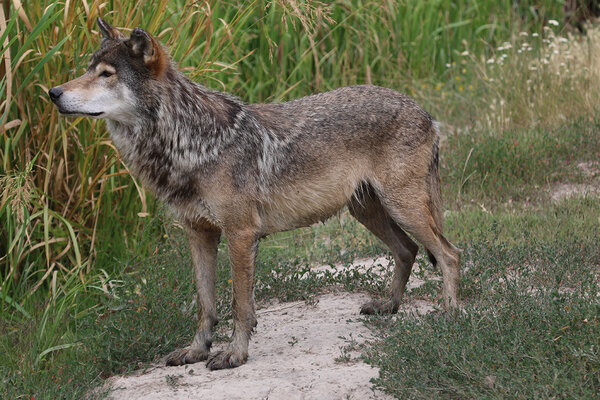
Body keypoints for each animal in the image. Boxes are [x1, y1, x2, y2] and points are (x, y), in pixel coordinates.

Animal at [49, 18, 462, 368]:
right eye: (87, 68)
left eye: (106, 74)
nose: (52, 92)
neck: (189, 141)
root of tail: (424, 112)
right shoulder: (198, 234)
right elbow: (205, 304)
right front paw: (196, 351)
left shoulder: (241, 234)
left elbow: (239, 305)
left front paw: (234, 354)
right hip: (368, 212)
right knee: (408, 250)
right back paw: (388, 306)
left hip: (402, 207)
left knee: (448, 254)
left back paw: (450, 313)